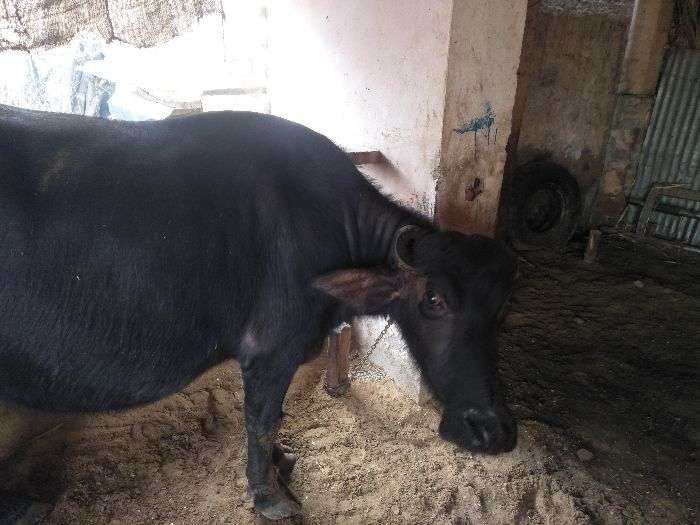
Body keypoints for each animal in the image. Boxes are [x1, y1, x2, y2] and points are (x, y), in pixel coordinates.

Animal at [0, 105, 517, 521]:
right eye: (434, 300)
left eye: (502, 308)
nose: (491, 429)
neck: (325, 226)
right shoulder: (270, 351)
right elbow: (263, 419)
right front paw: (269, 496)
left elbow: (277, 420)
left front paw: (281, 464)